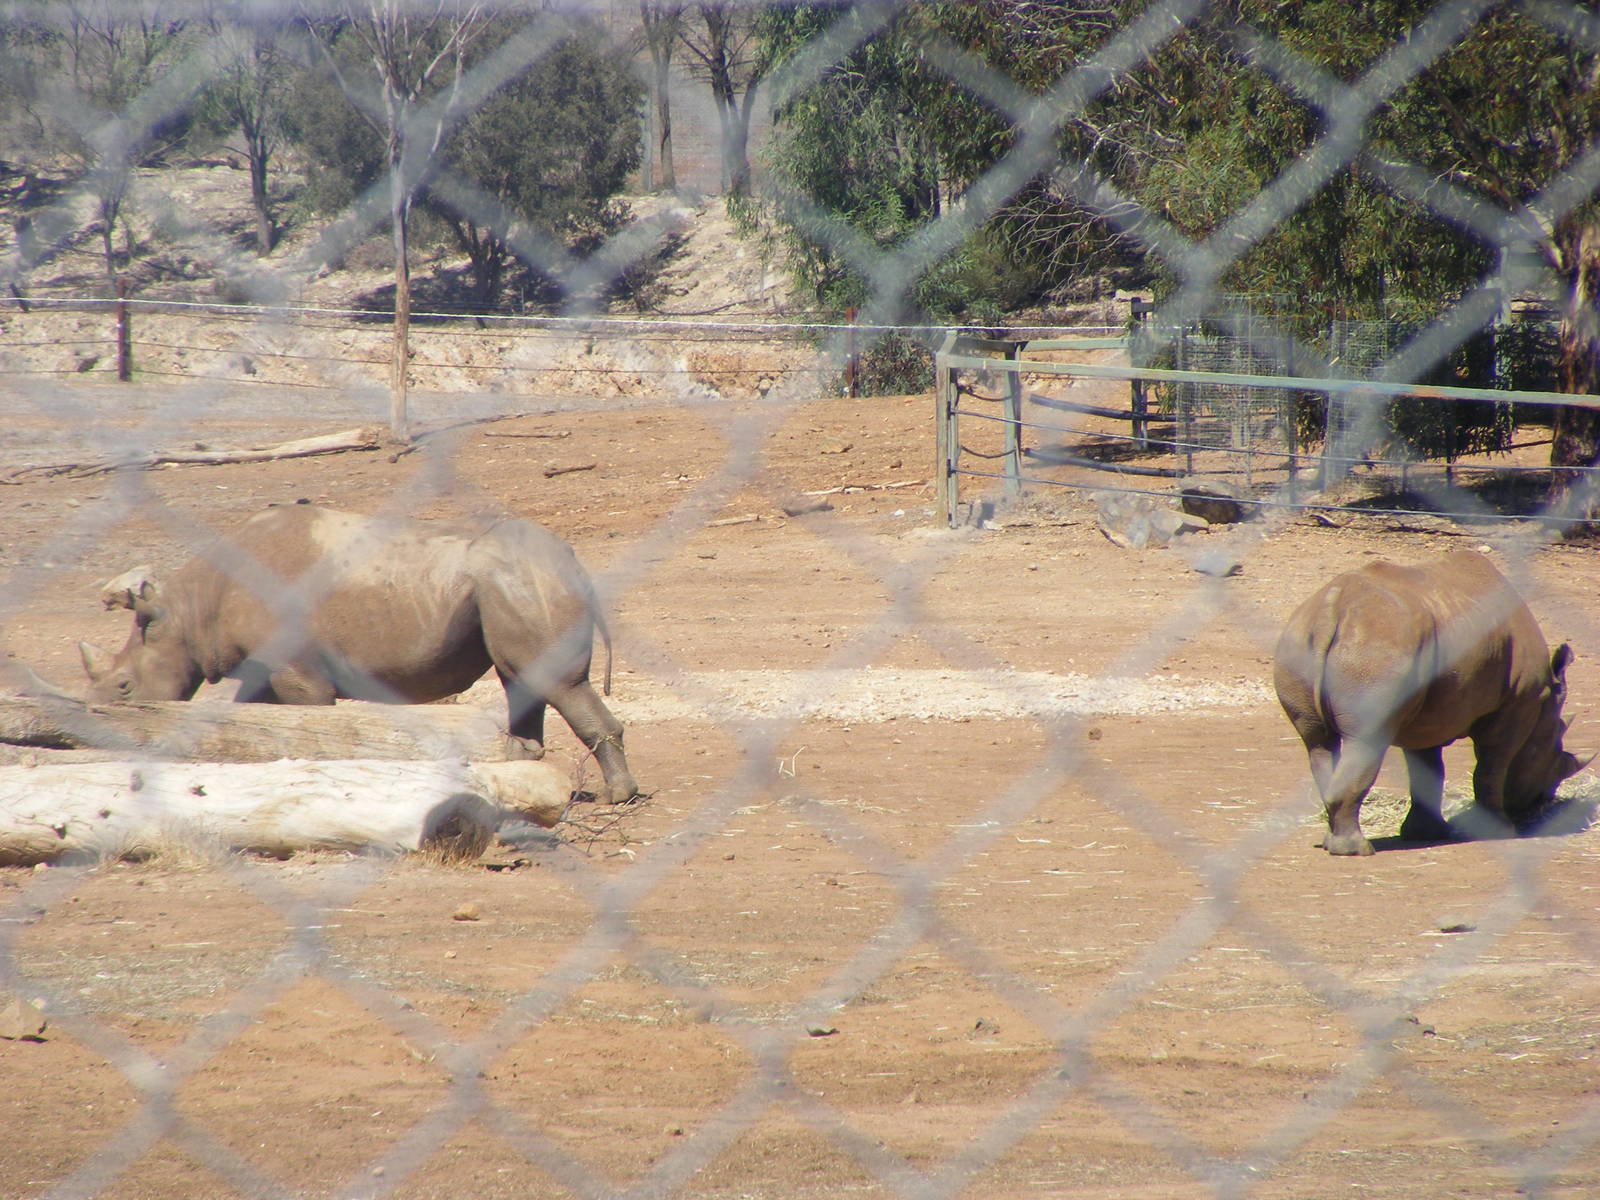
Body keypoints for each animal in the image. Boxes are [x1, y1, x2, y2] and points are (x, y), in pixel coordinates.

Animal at [79, 503, 640, 805]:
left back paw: (618, 797)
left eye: (125, 687)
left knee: (557, 684)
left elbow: (311, 726)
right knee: (521, 681)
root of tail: (573, 560)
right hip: (511, 580)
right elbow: (251, 721)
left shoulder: (297, 669)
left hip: (523, 578)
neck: (191, 609)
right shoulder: (262, 667)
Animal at [1273, 550, 1584, 856]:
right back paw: (1357, 850)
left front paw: (1424, 834)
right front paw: (1500, 832)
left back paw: (1334, 842)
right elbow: (1492, 766)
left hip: (1304, 643)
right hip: (1378, 650)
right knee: (1365, 739)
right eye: (1555, 754)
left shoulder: (1430, 714)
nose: (1542, 800)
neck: (1544, 702)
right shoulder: (1517, 702)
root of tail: (1333, 607)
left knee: (1318, 742)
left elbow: (1428, 768)